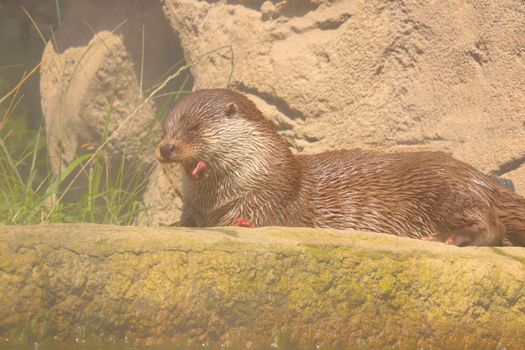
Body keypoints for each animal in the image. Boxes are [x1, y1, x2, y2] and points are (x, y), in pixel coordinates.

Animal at [157, 88, 524, 246]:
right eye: (166, 130)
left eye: (192, 129)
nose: (165, 148)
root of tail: (482, 178)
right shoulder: (192, 209)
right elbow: (184, 223)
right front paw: (169, 226)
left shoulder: (268, 198)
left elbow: (252, 221)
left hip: (449, 190)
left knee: (493, 228)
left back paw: (448, 237)